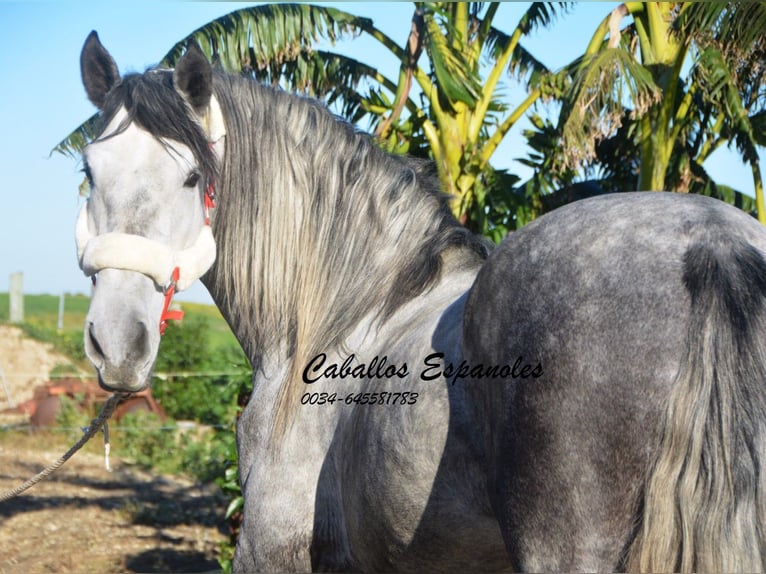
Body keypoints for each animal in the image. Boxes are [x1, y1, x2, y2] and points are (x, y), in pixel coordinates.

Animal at [73, 33, 766, 572]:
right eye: (88, 171)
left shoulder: (269, 549)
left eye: (193, 176)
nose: (118, 343)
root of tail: (712, 241)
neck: (351, 309)